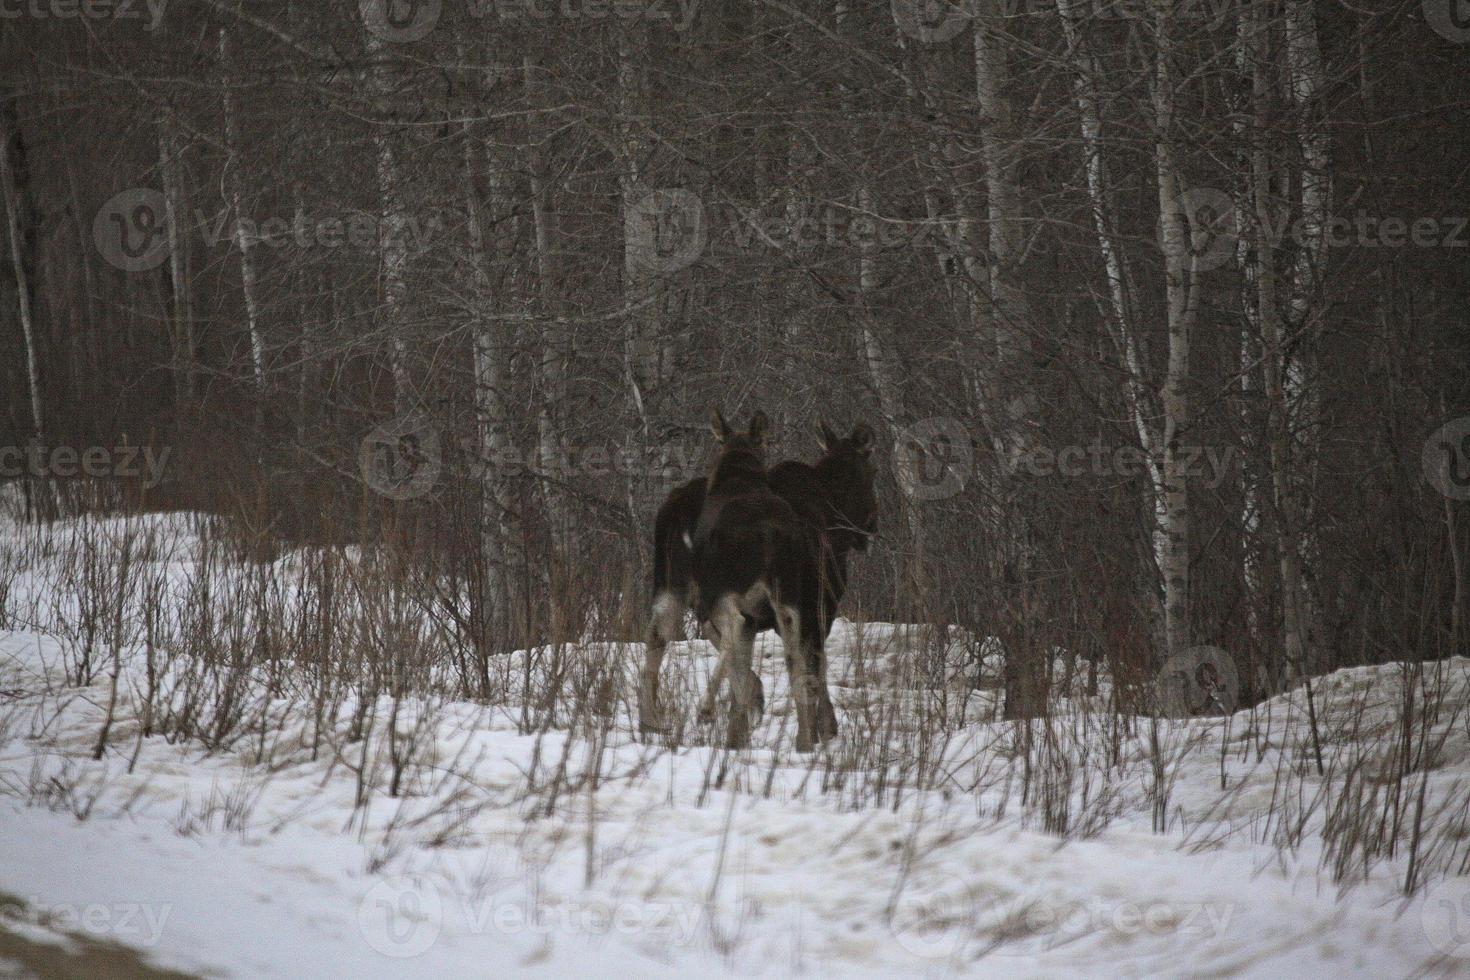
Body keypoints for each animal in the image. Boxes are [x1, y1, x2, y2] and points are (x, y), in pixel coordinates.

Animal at [640, 405, 870, 752]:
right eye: (872, 472)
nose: (869, 529)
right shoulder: (822, 608)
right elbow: (817, 665)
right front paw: (826, 727)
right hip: (731, 591)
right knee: (749, 638)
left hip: (674, 585)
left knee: (662, 633)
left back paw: (655, 722)